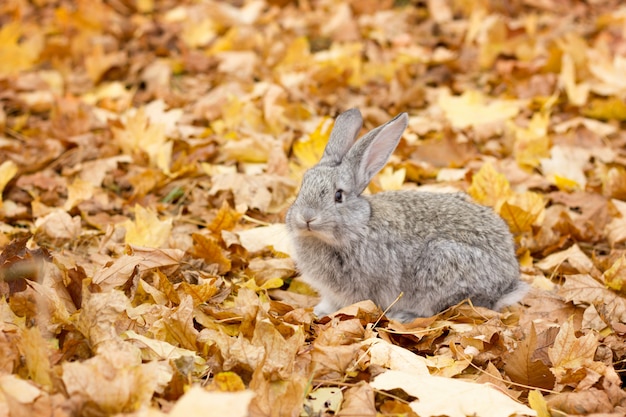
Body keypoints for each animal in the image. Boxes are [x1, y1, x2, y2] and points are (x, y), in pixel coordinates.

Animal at [286, 109, 524, 320]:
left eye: (338, 196)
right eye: (302, 188)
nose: (306, 217)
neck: (360, 224)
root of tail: (506, 284)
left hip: (440, 266)